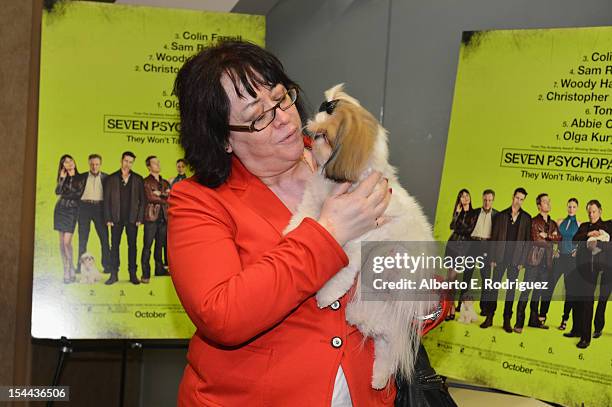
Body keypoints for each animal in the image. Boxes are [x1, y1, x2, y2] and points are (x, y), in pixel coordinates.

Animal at [284, 84, 438, 390]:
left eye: (331, 110)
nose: (318, 110)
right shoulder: (312, 205)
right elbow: (302, 221)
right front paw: (289, 233)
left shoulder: (357, 243)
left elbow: (341, 273)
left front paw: (325, 295)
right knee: (386, 348)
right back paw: (379, 377)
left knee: (387, 344)